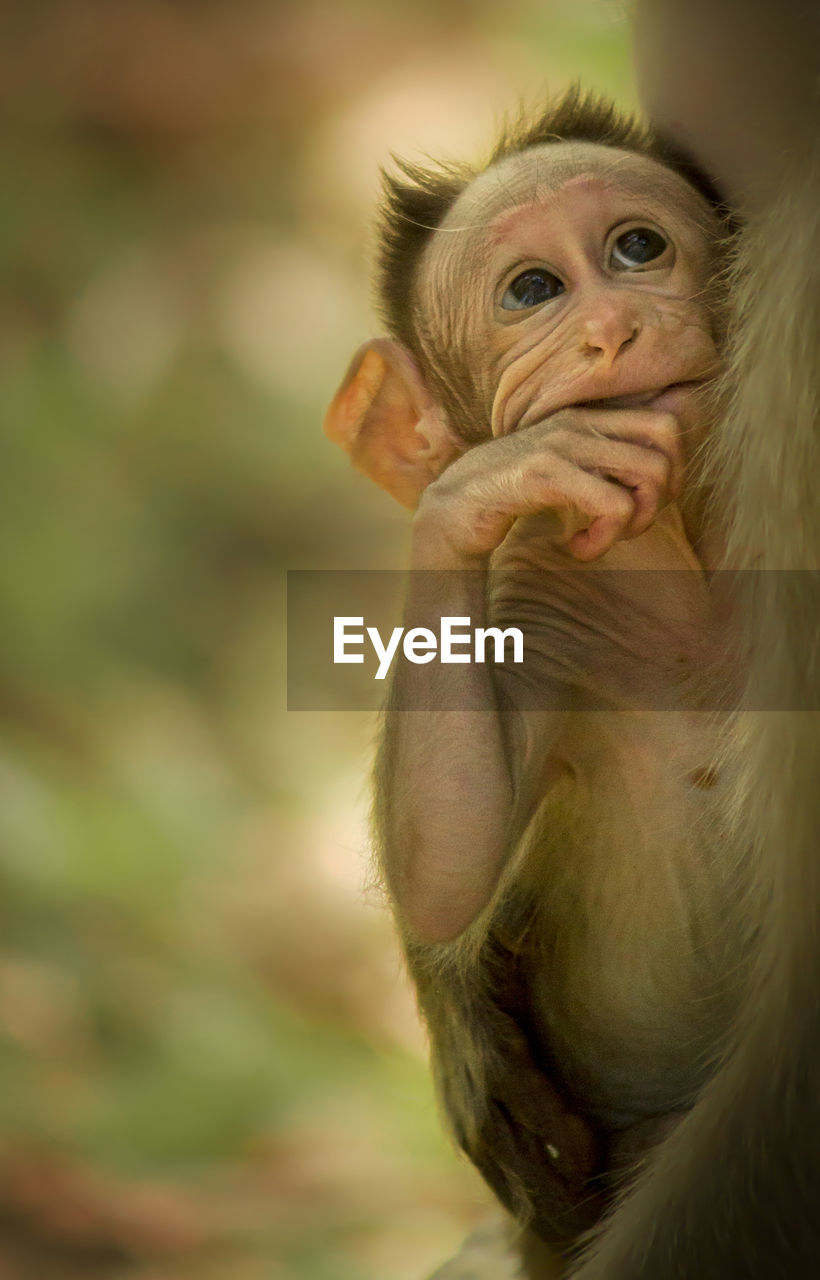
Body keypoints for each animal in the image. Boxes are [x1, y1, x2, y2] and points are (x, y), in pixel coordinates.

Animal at [322, 90, 731, 1269]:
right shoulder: (544, 628)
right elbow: (448, 855)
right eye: (533, 291)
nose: (614, 324)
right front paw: (481, 487)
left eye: (636, 248)